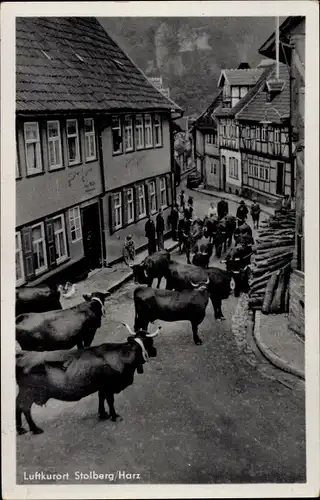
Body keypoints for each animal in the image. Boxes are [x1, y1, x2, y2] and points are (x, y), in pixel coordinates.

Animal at [15, 324, 161, 434]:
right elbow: (110, 401)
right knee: (24, 408)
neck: (121, 355)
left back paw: (21, 429)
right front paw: (114, 416)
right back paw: (34, 429)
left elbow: (101, 398)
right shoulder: (109, 386)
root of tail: (23, 355)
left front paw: (103, 414)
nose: (155, 351)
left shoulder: (102, 387)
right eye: (150, 342)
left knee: (18, 406)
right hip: (28, 392)